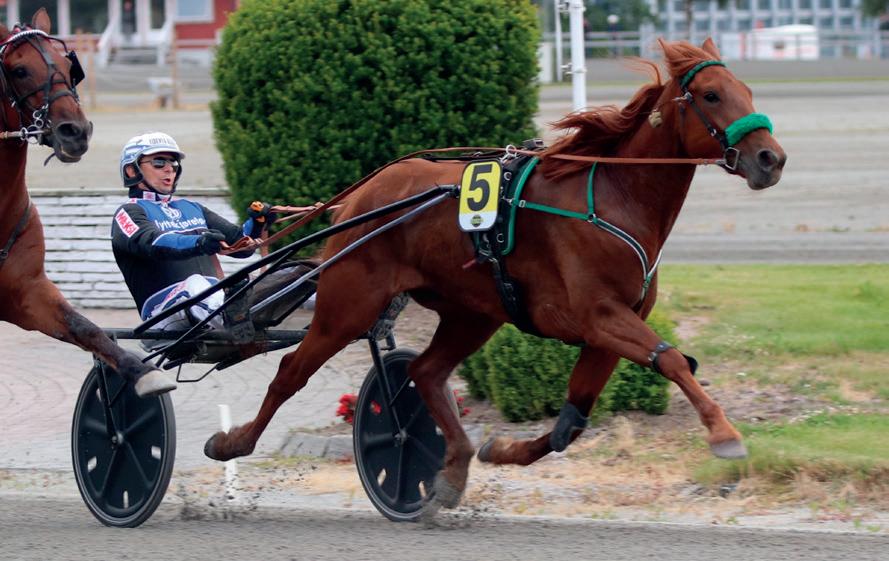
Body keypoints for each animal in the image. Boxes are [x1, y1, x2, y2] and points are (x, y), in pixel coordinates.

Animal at [0, 9, 172, 397]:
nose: (74, 132)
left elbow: (82, 326)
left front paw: (141, 371)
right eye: (18, 69)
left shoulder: (27, 291)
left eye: (69, 63)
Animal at [204, 38, 786, 512]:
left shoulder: (609, 328)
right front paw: (724, 434)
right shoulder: (599, 315)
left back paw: (452, 465)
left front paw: (501, 449)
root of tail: (358, 198)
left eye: (746, 89)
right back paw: (234, 442)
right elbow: (671, 359)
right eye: (711, 95)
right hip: (347, 304)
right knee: (290, 371)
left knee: (427, 373)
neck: (613, 196)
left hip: (471, 312)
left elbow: (571, 423)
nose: (770, 158)